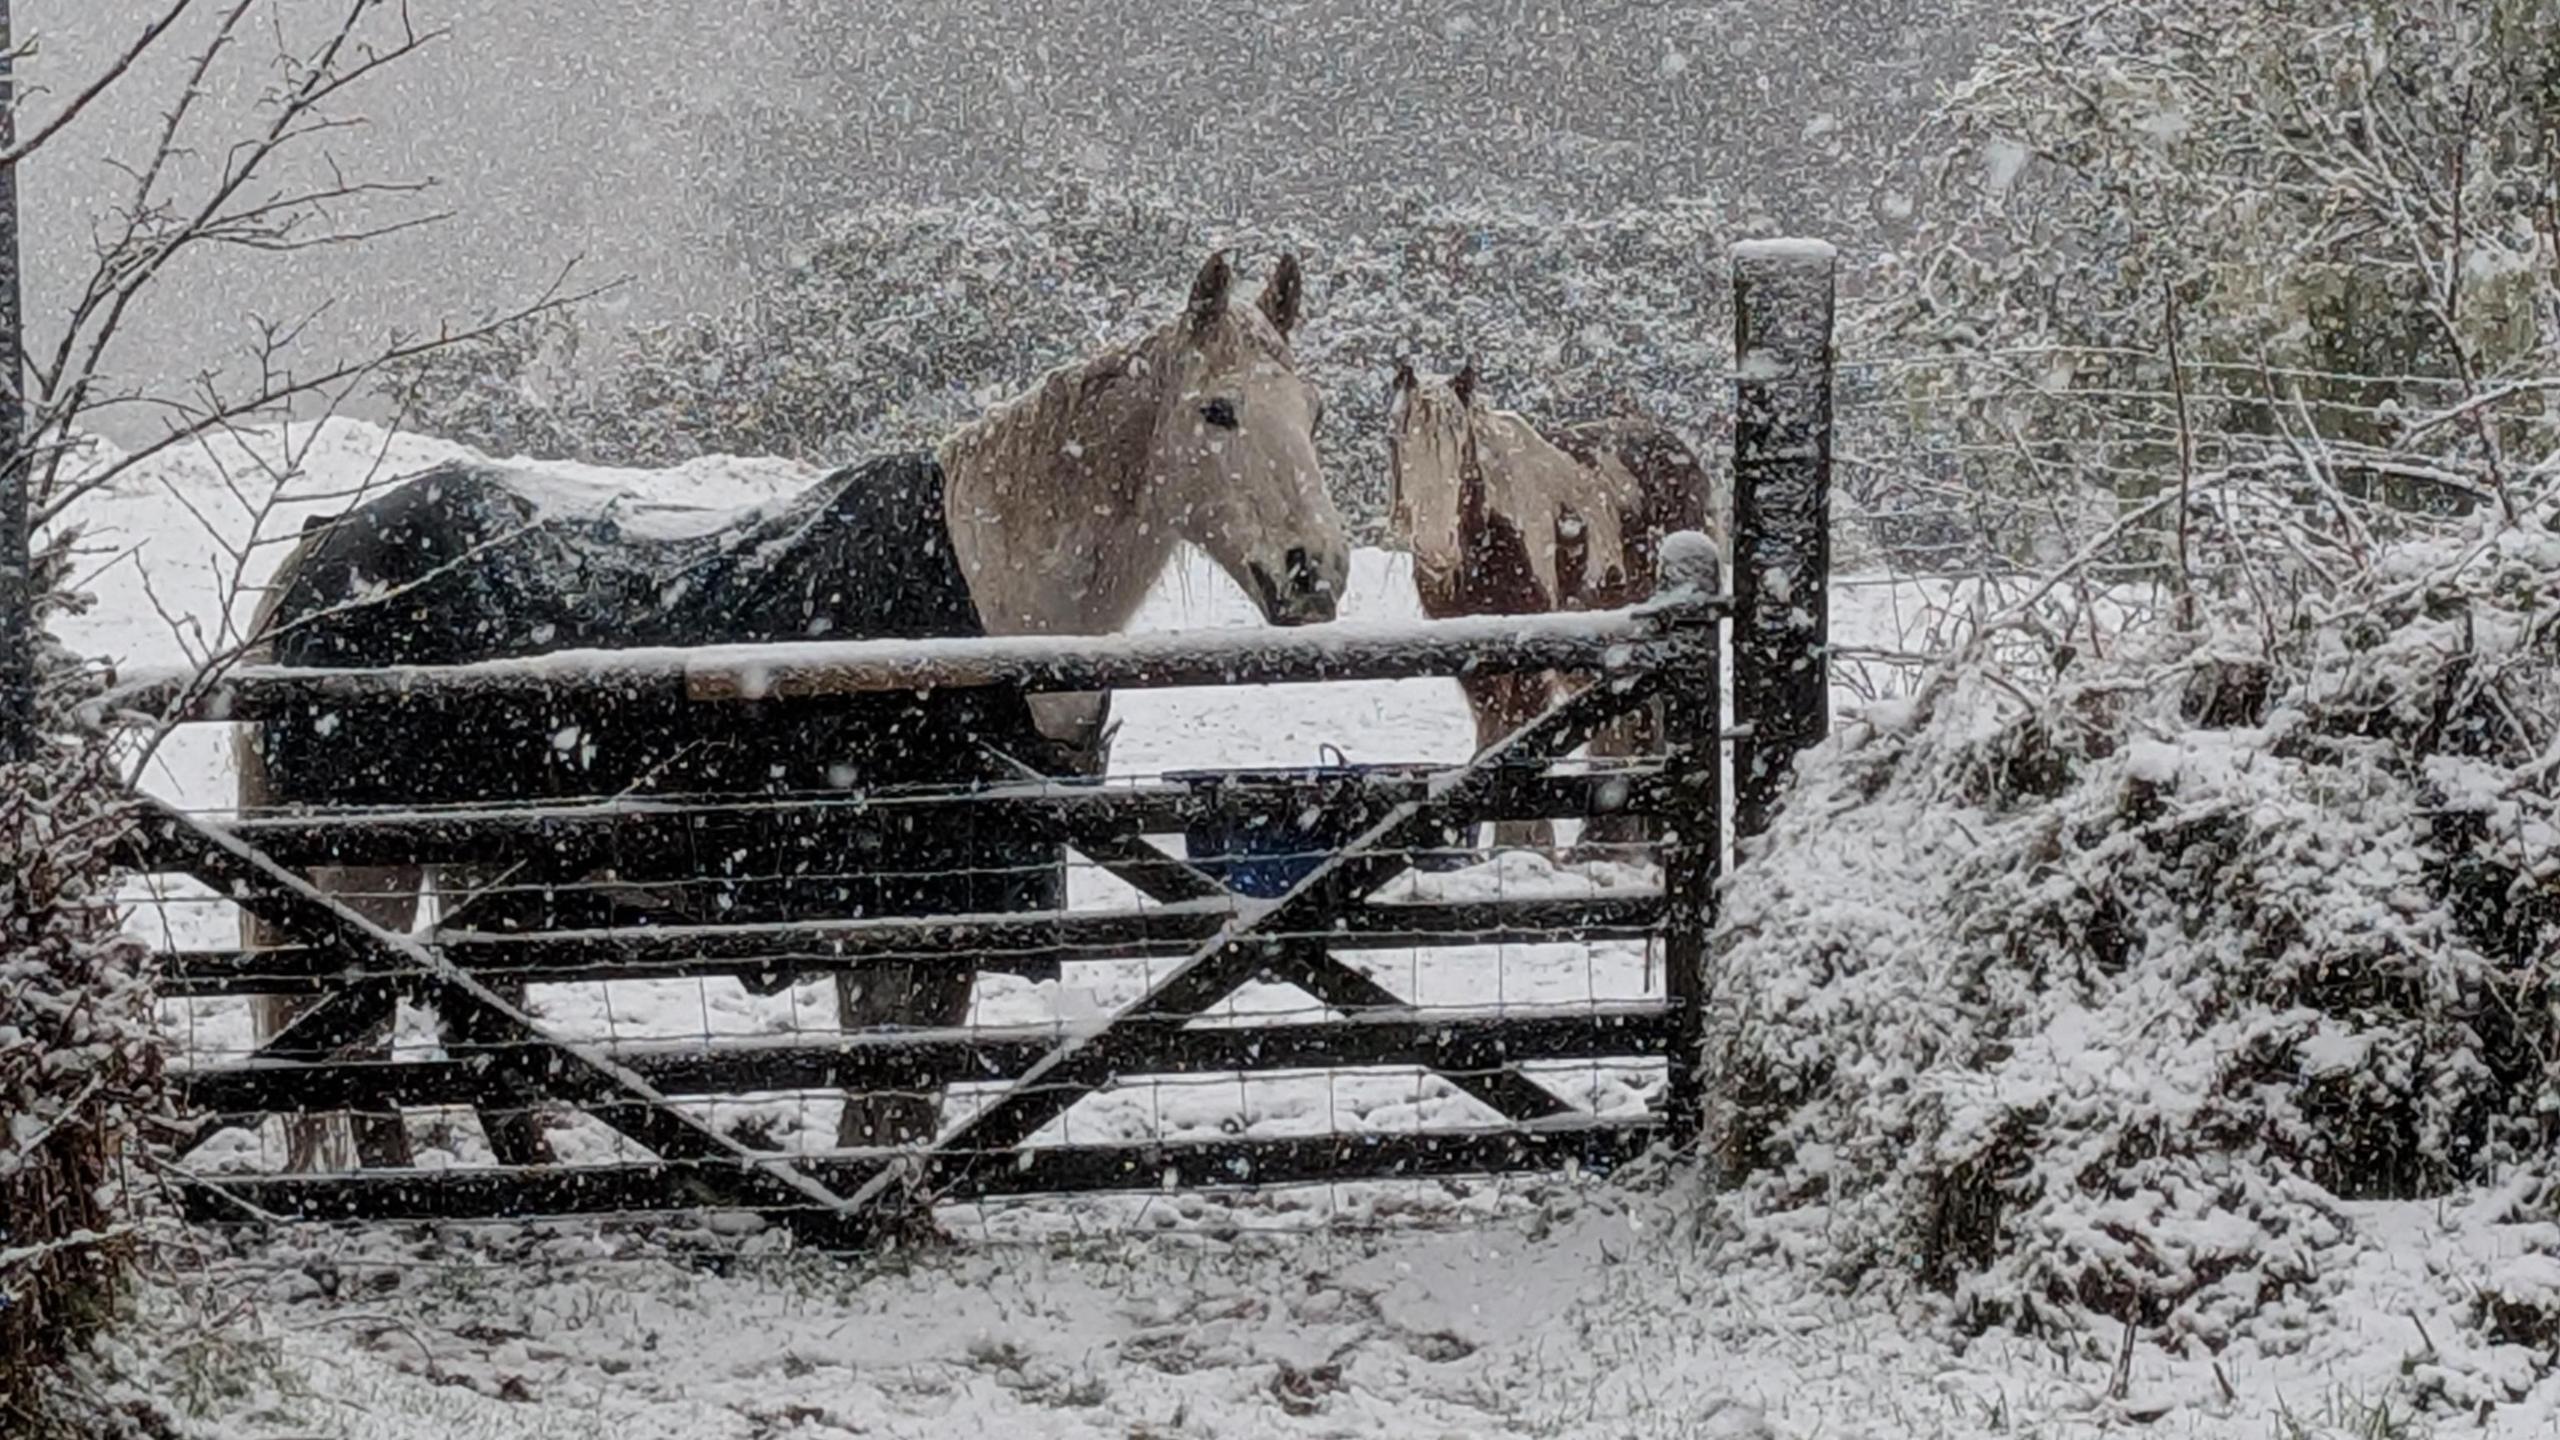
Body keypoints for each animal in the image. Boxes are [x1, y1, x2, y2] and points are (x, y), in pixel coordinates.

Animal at [239, 251, 1348, 1172]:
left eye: (1314, 412)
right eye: (1216, 411)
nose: (1316, 573)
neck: (977, 601)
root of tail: (326, 549)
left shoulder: (949, 903)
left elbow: (905, 1086)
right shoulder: (891, 898)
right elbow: (885, 1082)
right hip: (368, 861)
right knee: (363, 1043)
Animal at [1385, 360, 1718, 857]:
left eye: (1463, 449)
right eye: (1397, 440)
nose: (1435, 549)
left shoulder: (1531, 659)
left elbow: (1521, 742)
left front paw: (1524, 848)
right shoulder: (1472, 663)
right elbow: (1493, 740)